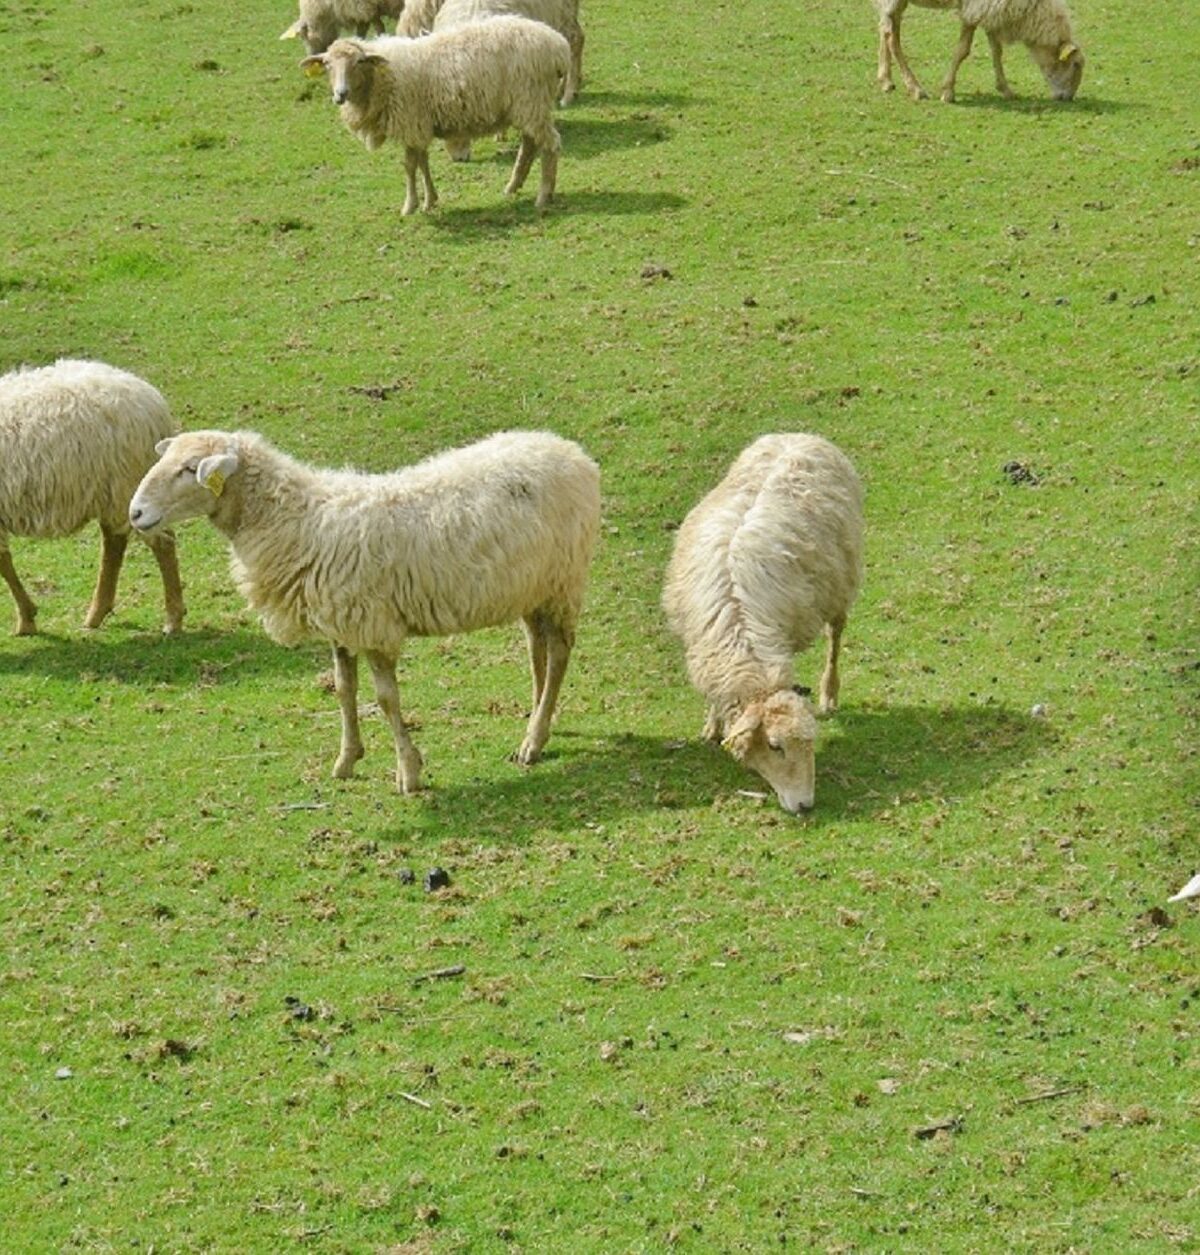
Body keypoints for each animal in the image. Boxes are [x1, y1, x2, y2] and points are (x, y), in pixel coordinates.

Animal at [0, 359, 184, 637]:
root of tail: (152, 400)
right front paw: (28, 617)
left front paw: (26, 618)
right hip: (112, 493)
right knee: (115, 542)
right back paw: (96, 615)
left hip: (127, 485)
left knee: (160, 543)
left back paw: (173, 619)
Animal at [128, 429, 600, 793]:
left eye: (190, 469)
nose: (135, 512)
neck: (298, 521)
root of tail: (570, 451)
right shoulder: (340, 624)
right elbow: (344, 689)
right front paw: (346, 760)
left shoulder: (372, 623)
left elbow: (387, 700)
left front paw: (409, 773)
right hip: (532, 587)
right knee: (537, 648)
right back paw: (540, 721)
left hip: (563, 580)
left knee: (559, 652)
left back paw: (534, 739)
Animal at [300, 21, 569, 213]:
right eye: (327, 64)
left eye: (358, 62)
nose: (340, 94)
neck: (382, 78)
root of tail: (558, 44)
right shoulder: (420, 124)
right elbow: (422, 162)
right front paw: (430, 201)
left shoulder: (411, 121)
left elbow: (410, 166)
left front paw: (410, 206)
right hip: (527, 106)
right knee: (530, 144)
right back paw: (513, 186)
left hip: (531, 100)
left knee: (550, 144)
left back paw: (543, 195)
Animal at [662, 434, 864, 815]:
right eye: (774, 745)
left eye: (810, 745)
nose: (805, 805)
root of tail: (800, 436)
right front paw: (712, 727)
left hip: (841, 585)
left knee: (835, 638)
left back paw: (830, 692)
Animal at [875, 0, 1084, 103]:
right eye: (1074, 65)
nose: (1067, 98)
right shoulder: (975, 8)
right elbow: (963, 50)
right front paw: (948, 91)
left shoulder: (992, 11)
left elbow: (997, 50)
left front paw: (1006, 89)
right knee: (891, 35)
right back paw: (915, 88)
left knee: (887, 27)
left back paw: (886, 80)